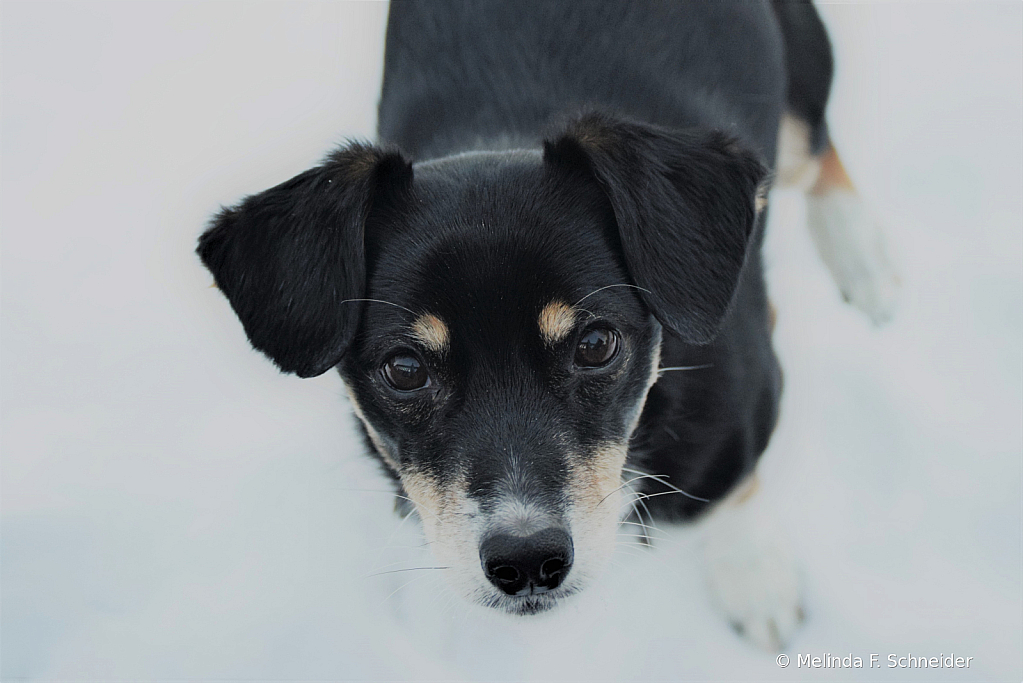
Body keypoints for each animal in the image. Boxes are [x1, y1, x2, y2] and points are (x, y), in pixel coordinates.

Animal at [197, 0, 896, 650]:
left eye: (596, 343)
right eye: (404, 368)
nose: (528, 563)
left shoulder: (742, 404)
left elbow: (733, 486)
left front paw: (755, 580)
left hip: (799, 85)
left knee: (818, 147)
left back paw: (866, 263)